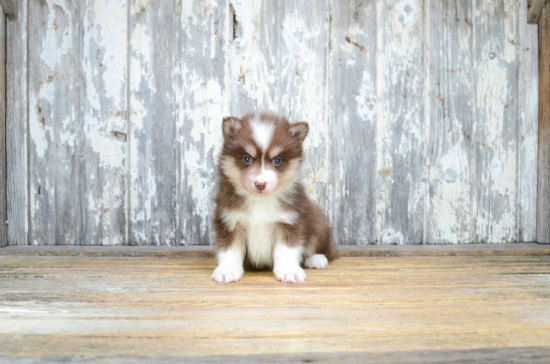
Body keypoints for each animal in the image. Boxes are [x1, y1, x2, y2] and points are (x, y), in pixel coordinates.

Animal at [213, 111, 338, 284]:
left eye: (277, 161)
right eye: (247, 158)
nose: (260, 184)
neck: (260, 201)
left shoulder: (290, 221)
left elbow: (287, 250)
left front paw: (289, 271)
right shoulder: (229, 221)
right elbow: (229, 249)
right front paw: (227, 271)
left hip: (317, 222)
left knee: (323, 247)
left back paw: (316, 259)